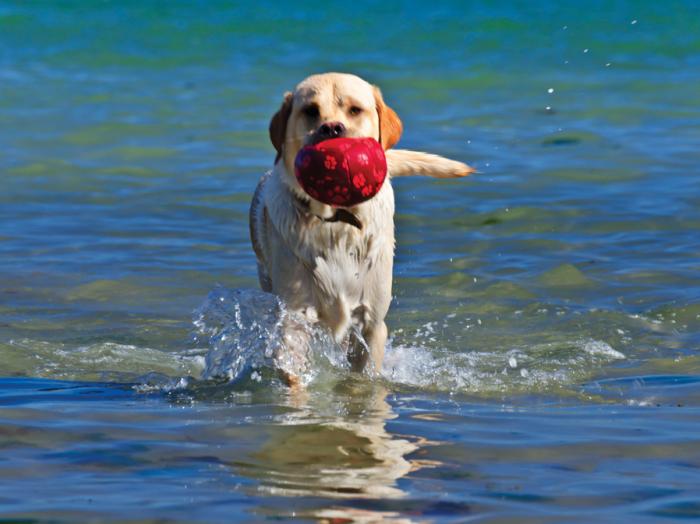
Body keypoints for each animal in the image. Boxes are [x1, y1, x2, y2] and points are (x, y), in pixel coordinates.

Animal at [249, 72, 474, 384]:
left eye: (355, 110)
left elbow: (365, 377)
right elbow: (293, 374)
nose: (332, 127)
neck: (336, 224)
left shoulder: (373, 322)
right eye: (311, 111)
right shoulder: (294, 317)